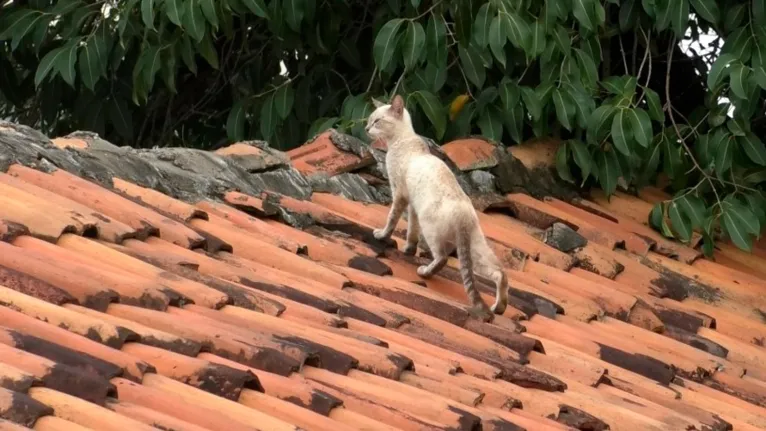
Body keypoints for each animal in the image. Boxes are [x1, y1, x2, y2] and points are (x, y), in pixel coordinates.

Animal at [368, 95, 510, 324]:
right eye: (370, 120)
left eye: (377, 121)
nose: (366, 128)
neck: (401, 141)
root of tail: (464, 214)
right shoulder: (412, 205)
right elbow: (411, 232)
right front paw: (408, 250)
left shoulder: (399, 194)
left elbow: (391, 219)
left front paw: (382, 236)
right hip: (474, 250)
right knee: (500, 273)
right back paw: (498, 308)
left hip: (432, 229)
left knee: (442, 258)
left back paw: (424, 272)